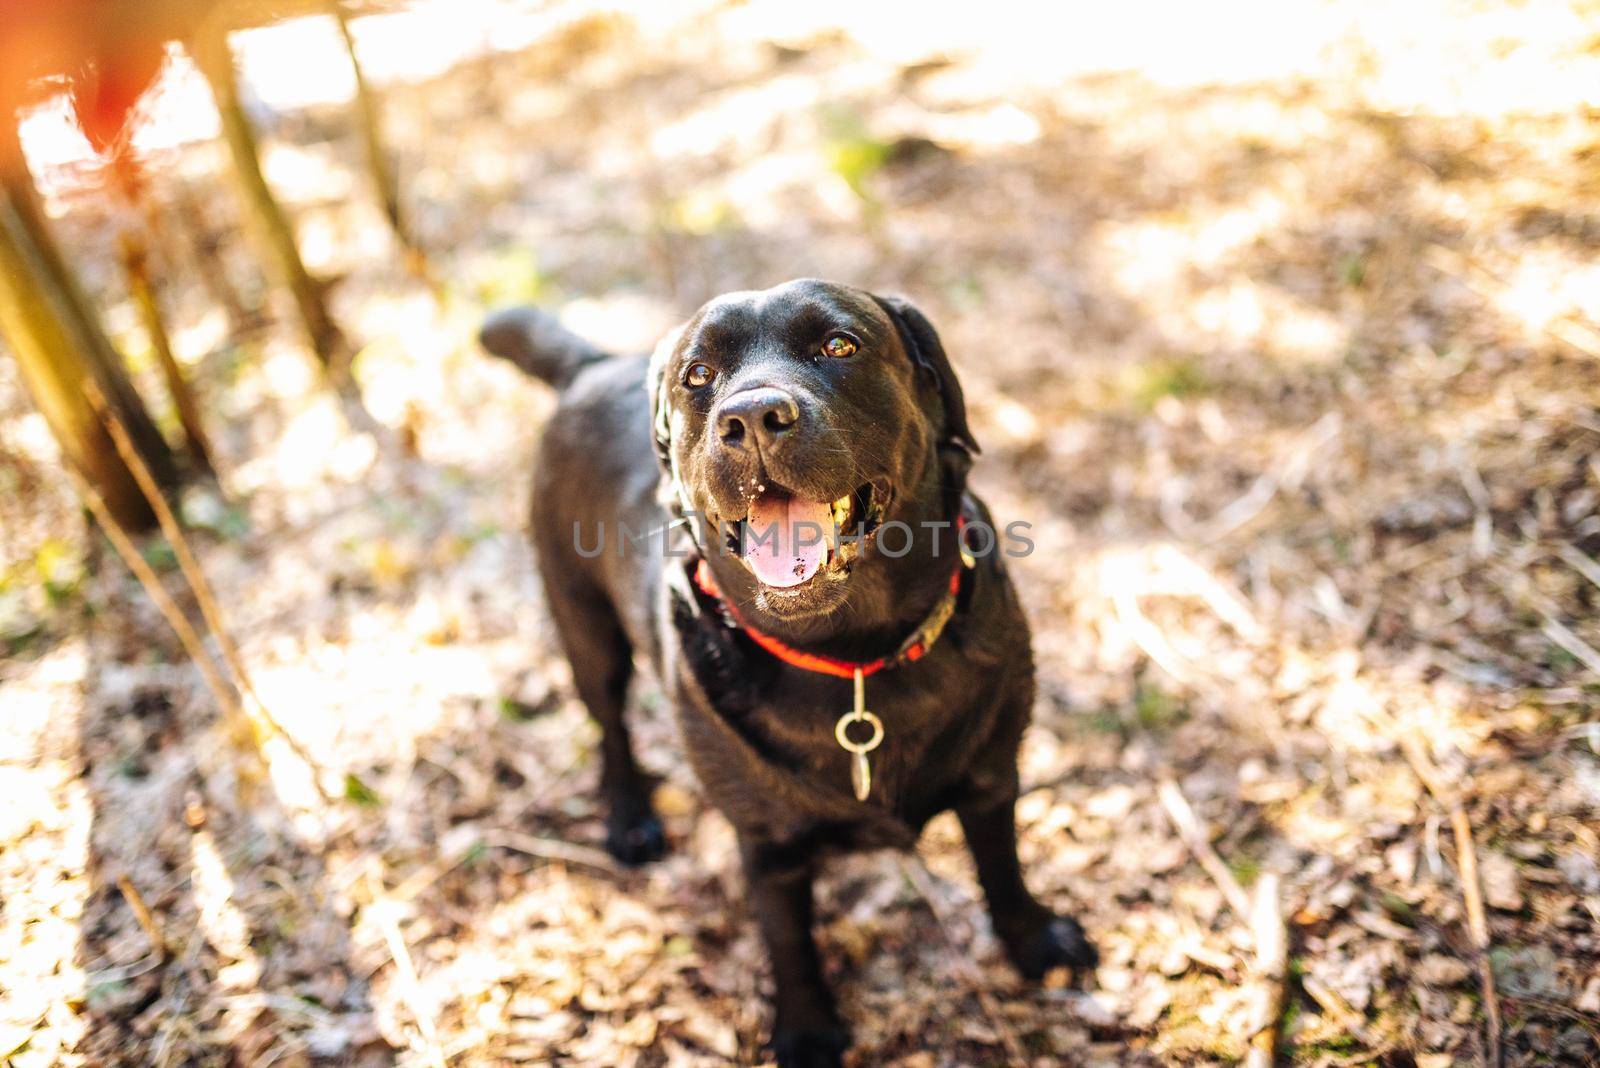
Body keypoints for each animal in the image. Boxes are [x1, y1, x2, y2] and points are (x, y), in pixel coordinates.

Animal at [480, 279, 1094, 1061]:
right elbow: (788, 941)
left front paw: (1034, 938)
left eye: (839, 344)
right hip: (584, 626)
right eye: (698, 376)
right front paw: (806, 1031)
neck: (854, 655)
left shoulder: (992, 774)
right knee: (610, 722)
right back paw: (629, 818)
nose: (751, 418)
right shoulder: (767, 845)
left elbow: (1002, 865)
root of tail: (594, 363)